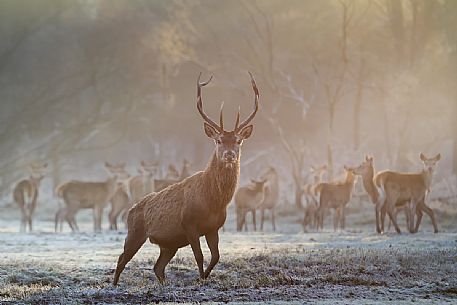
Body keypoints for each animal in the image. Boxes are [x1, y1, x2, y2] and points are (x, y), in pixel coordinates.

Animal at [112, 71, 258, 284]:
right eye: (218, 140)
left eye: (238, 141)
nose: (229, 154)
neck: (214, 202)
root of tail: (132, 209)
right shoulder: (189, 223)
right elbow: (199, 256)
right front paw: (200, 279)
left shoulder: (214, 228)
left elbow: (216, 256)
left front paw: (204, 278)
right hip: (135, 232)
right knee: (122, 258)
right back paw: (114, 285)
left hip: (169, 244)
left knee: (158, 267)